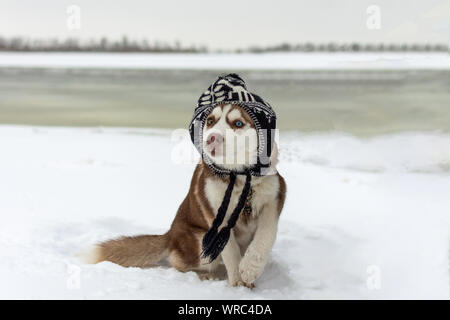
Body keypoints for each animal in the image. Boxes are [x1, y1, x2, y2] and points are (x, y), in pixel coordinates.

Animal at [84, 75, 286, 288]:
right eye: (211, 121)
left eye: (238, 123)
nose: (211, 138)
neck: (239, 175)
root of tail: (170, 235)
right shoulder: (215, 214)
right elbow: (229, 251)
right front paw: (238, 281)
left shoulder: (273, 198)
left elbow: (265, 235)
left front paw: (250, 268)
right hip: (199, 241)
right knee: (179, 262)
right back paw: (206, 275)